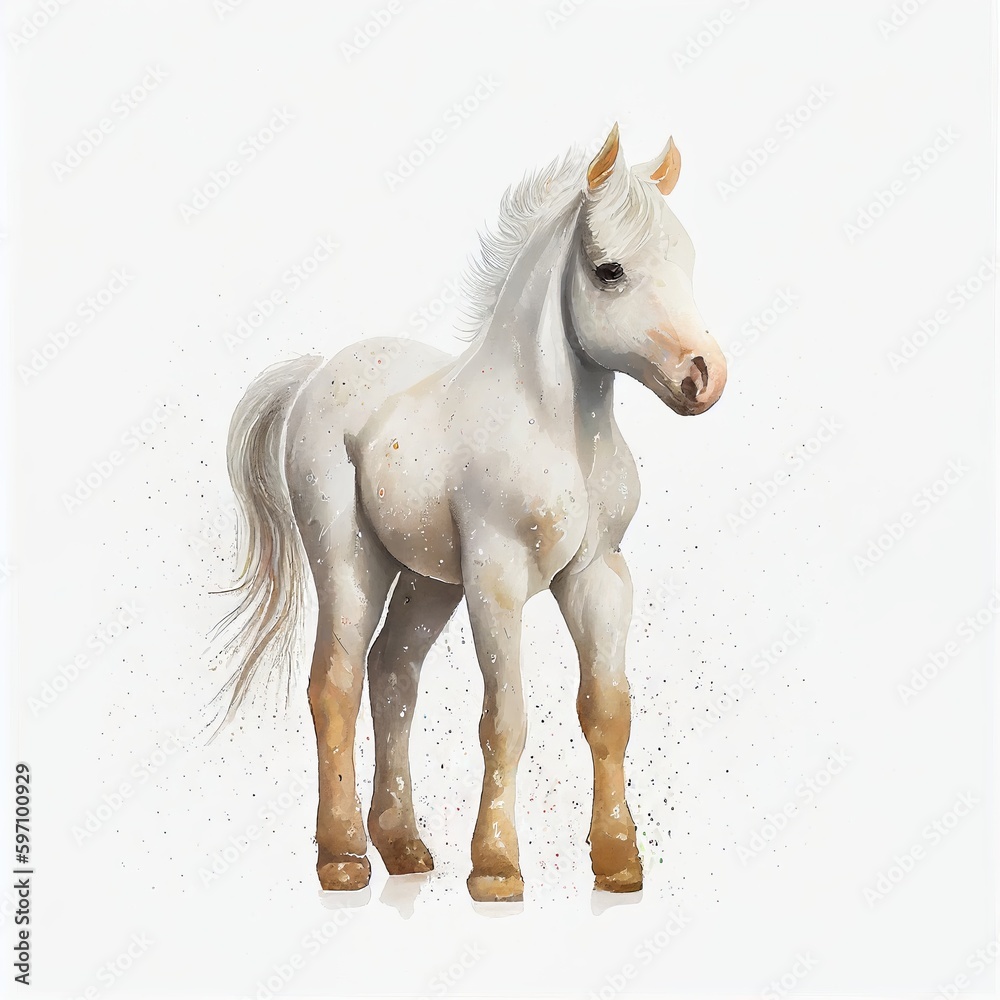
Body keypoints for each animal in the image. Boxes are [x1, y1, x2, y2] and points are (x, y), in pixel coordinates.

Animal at [217, 124, 727, 902]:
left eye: (689, 259)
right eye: (609, 270)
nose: (704, 376)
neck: (555, 427)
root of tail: (316, 374)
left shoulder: (599, 576)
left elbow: (607, 711)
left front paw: (617, 861)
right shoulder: (498, 576)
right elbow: (505, 718)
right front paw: (495, 867)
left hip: (428, 581)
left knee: (392, 673)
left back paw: (403, 846)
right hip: (350, 560)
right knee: (335, 683)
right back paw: (343, 857)